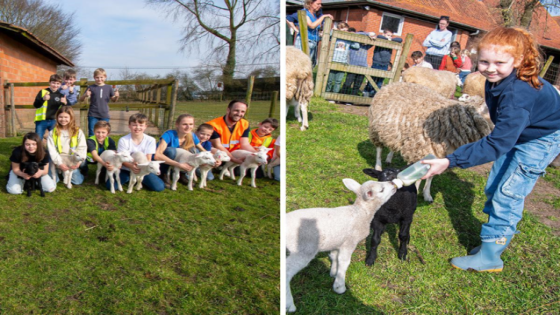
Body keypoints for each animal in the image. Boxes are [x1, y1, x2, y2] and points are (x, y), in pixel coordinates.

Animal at [284, 180, 398, 314]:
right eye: (381, 189)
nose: (393, 183)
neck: (361, 212)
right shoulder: (349, 242)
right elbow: (344, 262)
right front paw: (339, 286)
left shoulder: (338, 241)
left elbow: (334, 256)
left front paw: (333, 273)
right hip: (303, 249)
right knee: (287, 271)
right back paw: (290, 305)